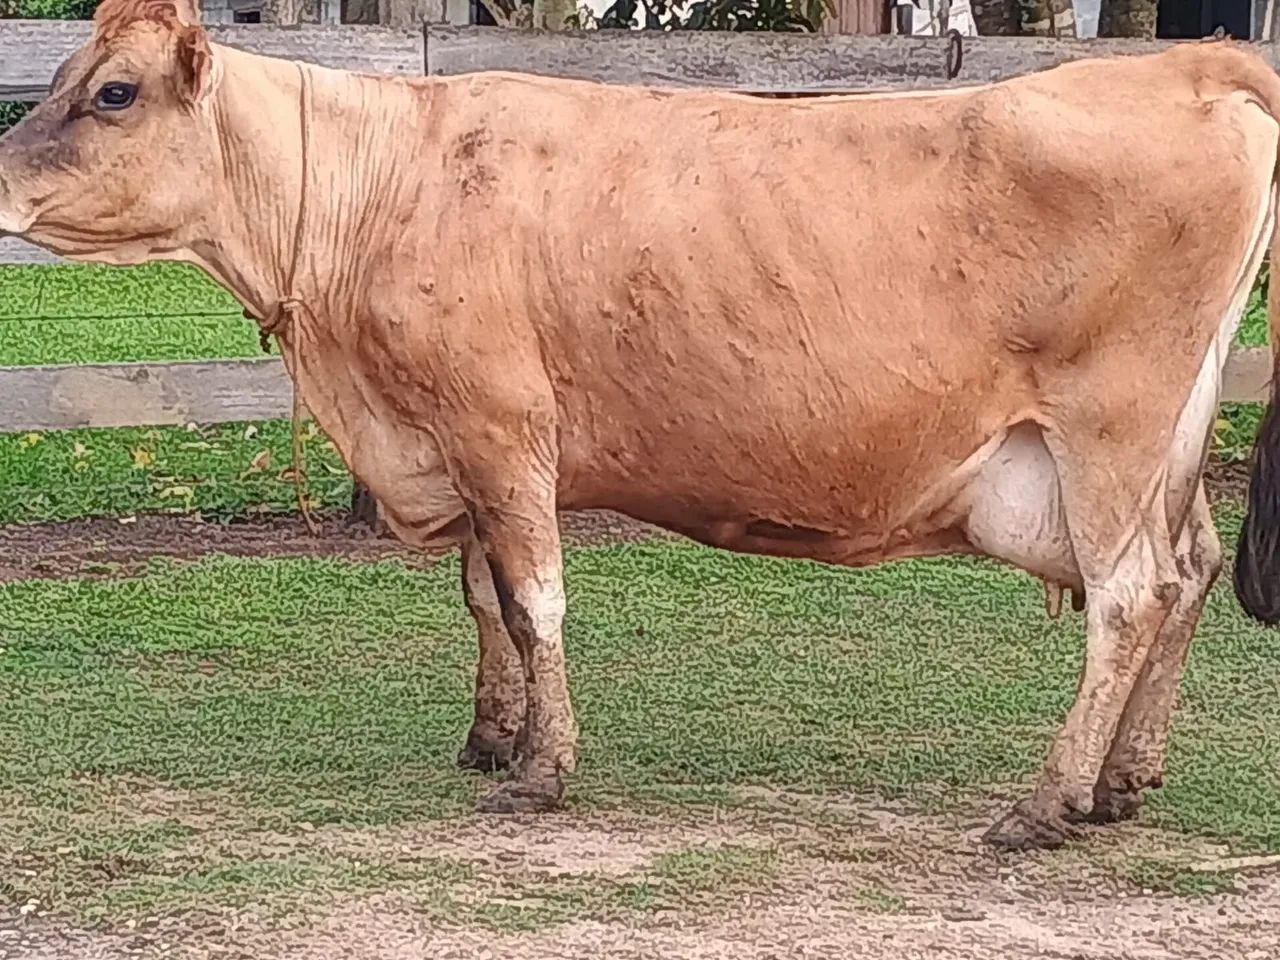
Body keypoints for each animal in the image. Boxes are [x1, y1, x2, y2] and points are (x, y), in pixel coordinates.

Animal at [3, 0, 1280, 852]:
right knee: (1188, 570)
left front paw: (539, 770)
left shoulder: (501, 423)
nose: (0, 181)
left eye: (112, 91)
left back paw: (1046, 801)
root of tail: (1188, 66)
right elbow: (484, 597)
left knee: (1128, 597)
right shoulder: (462, 444)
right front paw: (493, 733)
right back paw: (1120, 781)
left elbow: (533, 600)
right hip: (1167, 444)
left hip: (1110, 430)